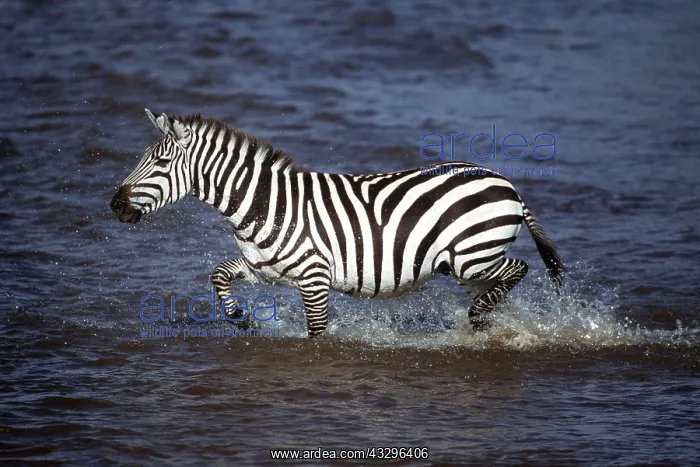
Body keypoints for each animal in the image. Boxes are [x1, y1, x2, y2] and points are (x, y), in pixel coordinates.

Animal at [110, 110, 565, 338]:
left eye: (161, 163)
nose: (115, 205)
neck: (265, 205)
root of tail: (505, 182)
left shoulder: (314, 278)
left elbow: (317, 332)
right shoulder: (262, 269)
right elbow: (219, 275)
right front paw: (241, 317)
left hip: (472, 256)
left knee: (519, 268)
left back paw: (478, 317)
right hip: (470, 266)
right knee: (501, 286)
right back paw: (487, 322)